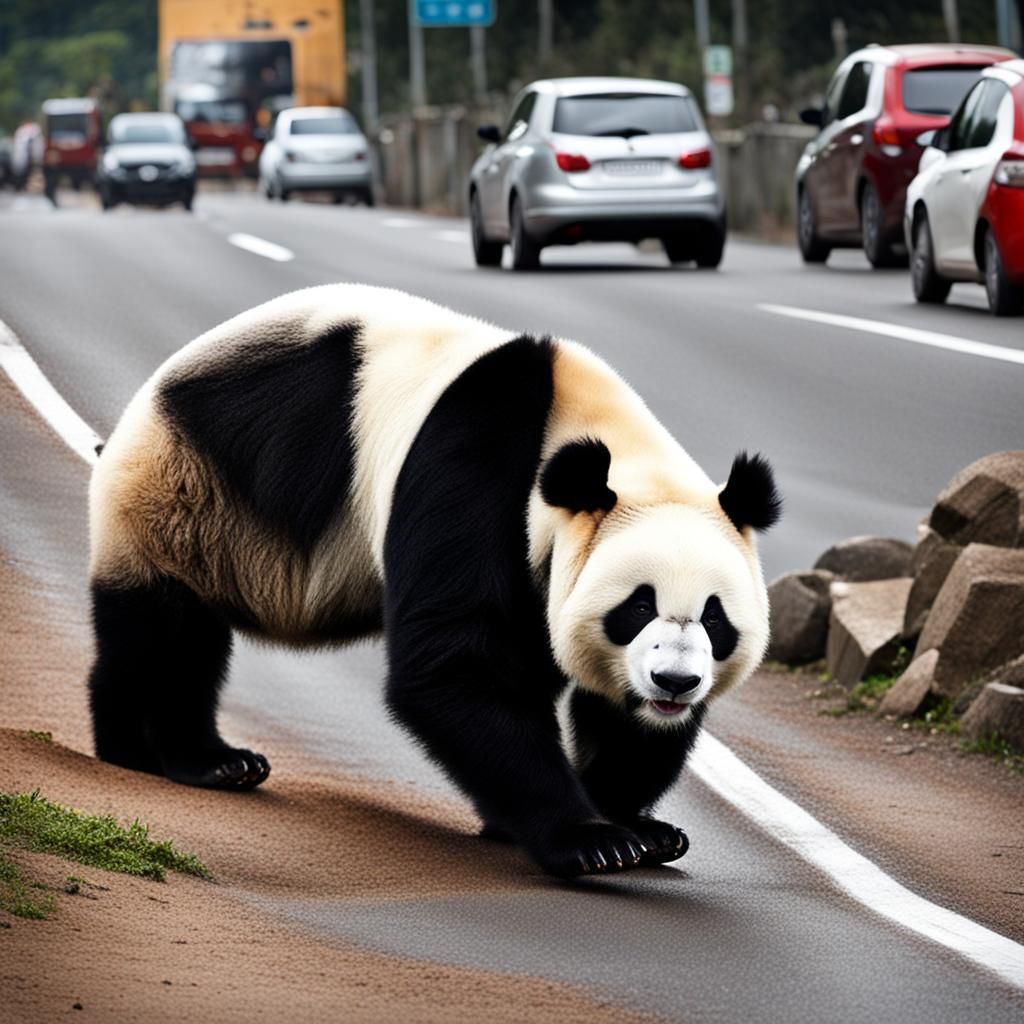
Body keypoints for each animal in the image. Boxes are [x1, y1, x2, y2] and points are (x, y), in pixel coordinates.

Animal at [87, 284, 780, 878]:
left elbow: (611, 712)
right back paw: (171, 754)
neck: (596, 435)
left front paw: (638, 826)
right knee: (164, 632)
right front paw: (590, 840)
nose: (674, 682)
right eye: (636, 608)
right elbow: (453, 660)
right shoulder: (477, 466)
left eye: (714, 618)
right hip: (181, 493)